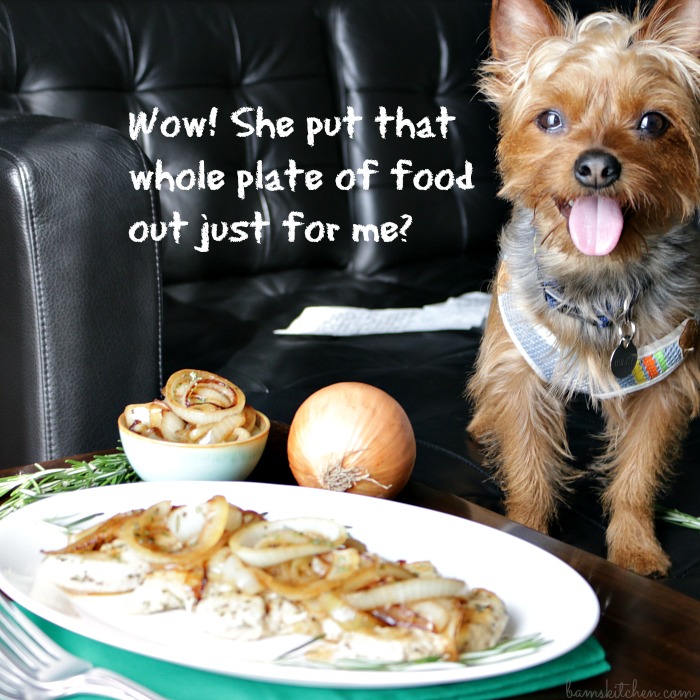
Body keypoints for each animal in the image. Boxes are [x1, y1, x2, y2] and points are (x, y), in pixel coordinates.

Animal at [464, 0, 700, 576]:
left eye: (653, 122)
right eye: (550, 118)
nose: (596, 166)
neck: (598, 282)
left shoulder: (661, 384)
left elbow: (637, 475)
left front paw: (635, 548)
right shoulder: (519, 375)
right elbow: (529, 471)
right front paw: (527, 533)